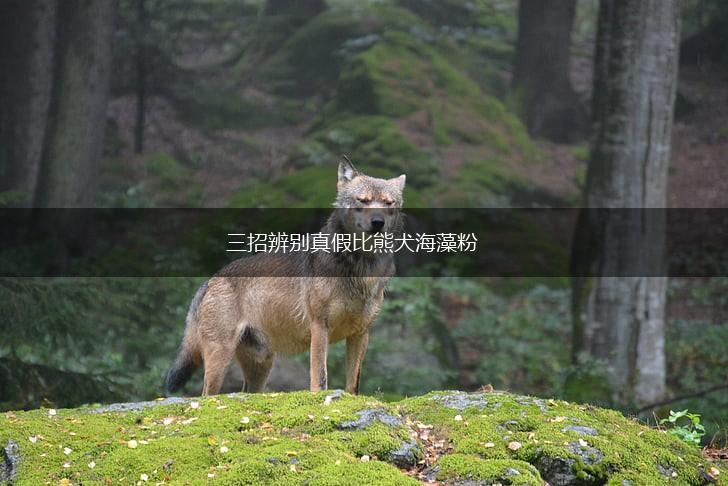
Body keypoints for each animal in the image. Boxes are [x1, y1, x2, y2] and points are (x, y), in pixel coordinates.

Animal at [164, 158, 404, 396]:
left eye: (388, 203)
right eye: (363, 200)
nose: (378, 222)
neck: (361, 267)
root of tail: (210, 280)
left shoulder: (361, 333)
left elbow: (353, 384)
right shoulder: (319, 327)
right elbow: (320, 377)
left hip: (261, 366)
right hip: (220, 359)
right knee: (207, 395)